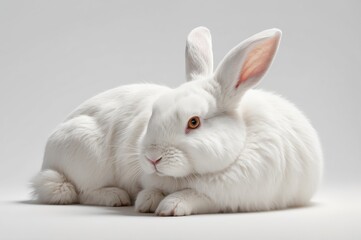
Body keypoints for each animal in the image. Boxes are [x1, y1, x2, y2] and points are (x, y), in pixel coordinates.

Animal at [32, 26, 322, 216]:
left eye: (194, 122)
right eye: (153, 113)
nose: (152, 158)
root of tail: (48, 158)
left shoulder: (227, 196)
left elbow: (194, 195)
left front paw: (169, 206)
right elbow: (153, 190)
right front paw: (146, 202)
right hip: (85, 153)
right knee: (79, 190)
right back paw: (115, 196)